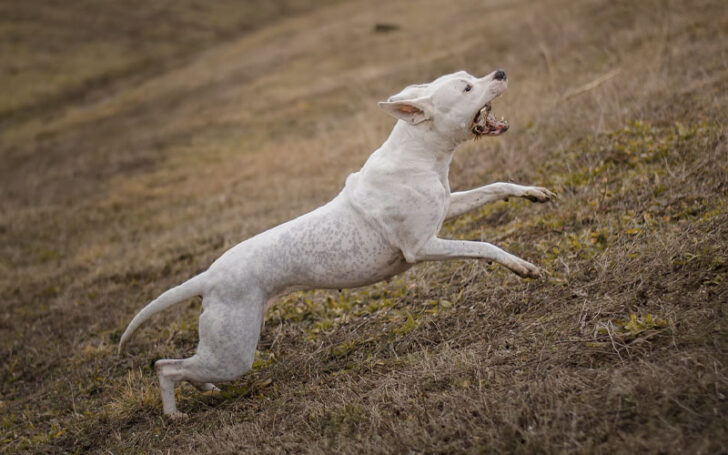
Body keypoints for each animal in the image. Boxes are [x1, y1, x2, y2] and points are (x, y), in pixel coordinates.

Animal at [119, 69, 556, 418]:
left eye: (470, 75)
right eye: (467, 88)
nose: (499, 72)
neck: (421, 152)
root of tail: (208, 276)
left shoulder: (447, 209)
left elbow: (496, 186)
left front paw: (534, 193)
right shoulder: (422, 247)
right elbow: (485, 246)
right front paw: (523, 267)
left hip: (226, 346)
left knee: (189, 367)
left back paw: (203, 390)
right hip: (233, 352)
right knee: (165, 367)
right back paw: (174, 415)